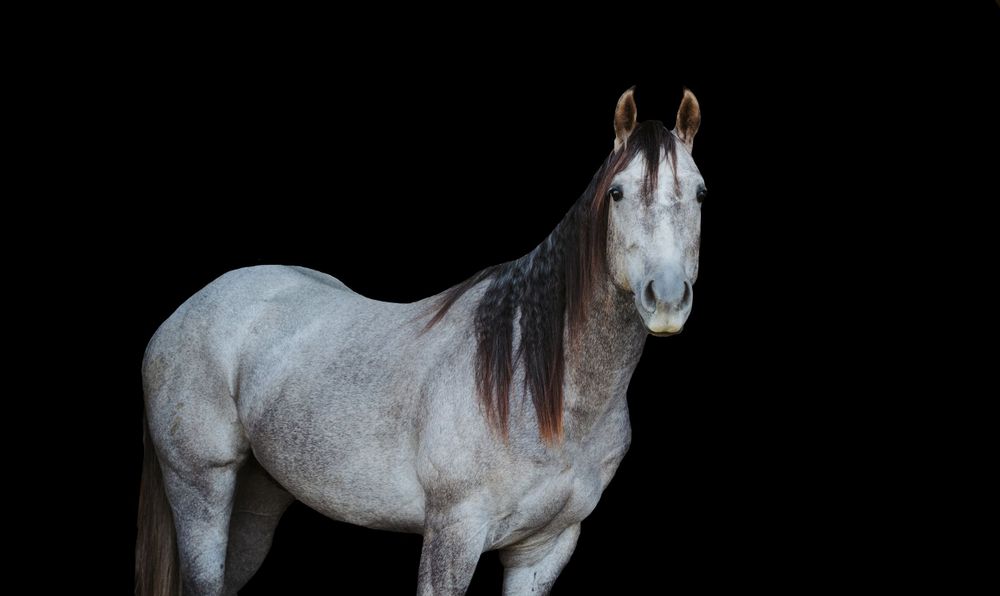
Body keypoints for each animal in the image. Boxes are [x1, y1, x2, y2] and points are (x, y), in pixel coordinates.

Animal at [136, 87, 706, 595]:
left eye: (701, 193)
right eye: (617, 193)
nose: (667, 298)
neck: (538, 391)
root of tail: (184, 312)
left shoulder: (544, 550)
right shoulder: (453, 532)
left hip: (257, 499)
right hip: (200, 486)